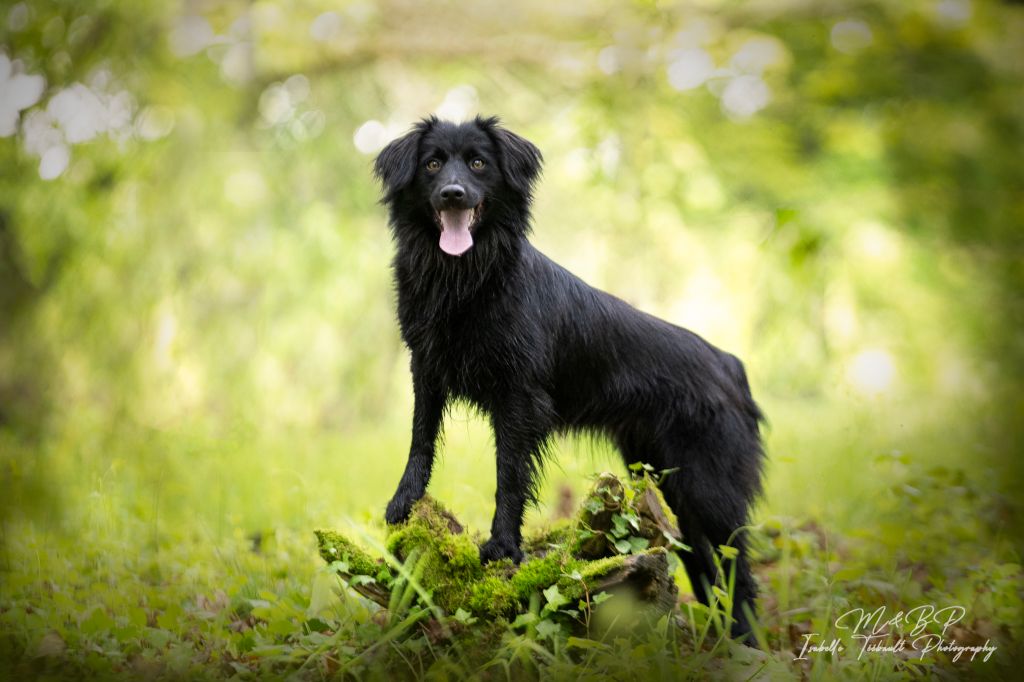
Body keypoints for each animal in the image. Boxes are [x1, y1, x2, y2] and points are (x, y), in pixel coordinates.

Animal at [374, 116, 761, 638]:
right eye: (432, 164)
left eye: (478, 162)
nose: (453, 194)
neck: (466, 275)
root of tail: (728, 363)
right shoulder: (426, 368)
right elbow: (420, 439)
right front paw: (405, 502)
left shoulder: (519, 398)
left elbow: (509, 475)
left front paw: (503, 547)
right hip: (667, 477)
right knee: (704, 565)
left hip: (711, 489)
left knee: (738, 571)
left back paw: (747, 643)